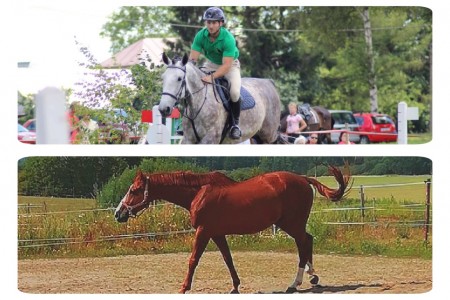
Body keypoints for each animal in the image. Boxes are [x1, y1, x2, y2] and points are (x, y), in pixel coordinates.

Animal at [113, 168, 352, 294]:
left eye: (134, 190)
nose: (118, 213)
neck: (198, 193)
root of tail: (303, 179)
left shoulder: (204, 232)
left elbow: (193, 260)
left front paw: (183, 287)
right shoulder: (217, 234)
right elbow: (228, 259)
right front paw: (235, 286)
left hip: (292, 224)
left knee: (304, 244)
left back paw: (296, 283)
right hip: (292, 224)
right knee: (307, 241)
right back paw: (312, 277)